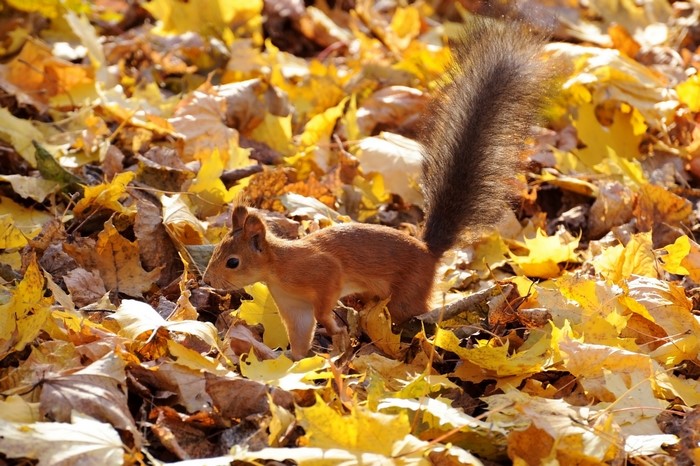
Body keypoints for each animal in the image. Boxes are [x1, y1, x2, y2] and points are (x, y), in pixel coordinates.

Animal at [203, 17, 555, 360]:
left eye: (233, 261)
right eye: (218, 250)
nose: (207, 280)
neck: (278, 268)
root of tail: (428, 252)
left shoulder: (323, 272)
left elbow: (325, 302)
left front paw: (333, 327)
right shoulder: (294, 306)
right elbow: (301, 336)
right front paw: (291, 361)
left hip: (406, 294)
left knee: (414, 316)